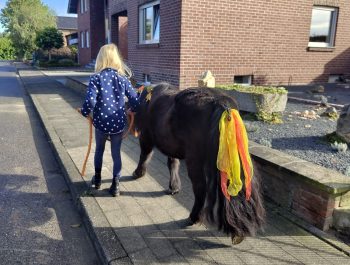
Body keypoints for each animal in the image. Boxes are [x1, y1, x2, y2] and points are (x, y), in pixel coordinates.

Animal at [133, 82, 264, 241]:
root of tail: (222, 104)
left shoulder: (146, 136)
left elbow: (145, 155)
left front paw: (138, 173)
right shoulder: (171, 146)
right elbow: (173, 164)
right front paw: (174, 187)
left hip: (194, 160)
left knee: (200, 188)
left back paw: (193, 217)